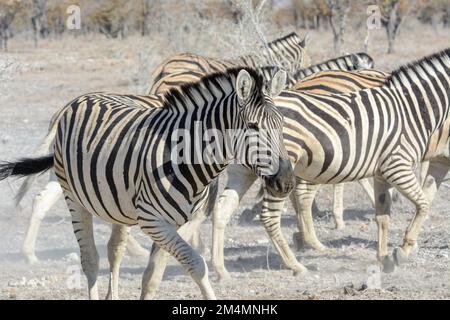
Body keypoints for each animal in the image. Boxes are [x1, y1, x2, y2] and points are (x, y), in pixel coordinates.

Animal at [0, 67, 296, 300]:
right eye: (253, 126)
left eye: (282, 123)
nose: (287, 181)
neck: (187, 157)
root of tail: (80, 98)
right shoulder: (153, 221)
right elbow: (196, 263)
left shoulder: (182, 222)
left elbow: (152, 276)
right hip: (74, 197)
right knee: (90, 259)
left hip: (116, 204)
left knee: (114, 251)